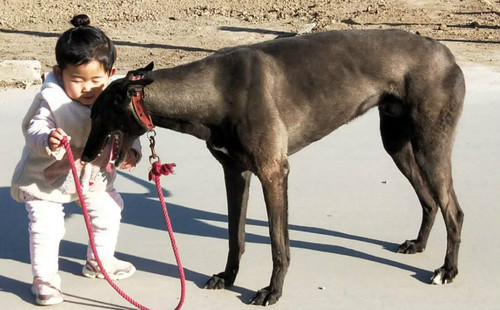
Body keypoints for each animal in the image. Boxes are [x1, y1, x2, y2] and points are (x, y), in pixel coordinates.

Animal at [81, 30, 464, 306]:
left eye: (97, 115)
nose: (83, 156)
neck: (215, 90)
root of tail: (446, 53)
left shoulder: (273, 171)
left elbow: (278, 243)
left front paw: (272, 291)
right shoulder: (235, 172)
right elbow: (235, 236)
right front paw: (228, 277)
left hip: (431, 146)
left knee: (453, 210)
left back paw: (448, 270)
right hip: (398, 145)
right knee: (430, 200)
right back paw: (418, 244)